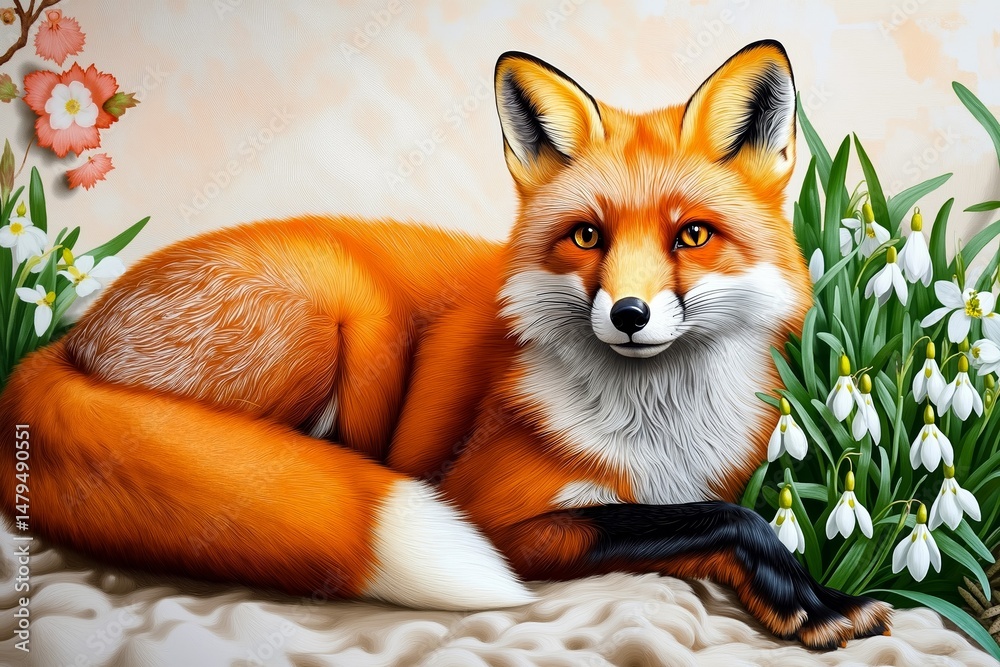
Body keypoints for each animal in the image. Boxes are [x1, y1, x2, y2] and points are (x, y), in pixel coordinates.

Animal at [0, 40, 892, 649]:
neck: (659, 430)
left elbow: (710, 519)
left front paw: (797, 597)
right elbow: (726, 520)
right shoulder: (504, 518)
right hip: (343, 313)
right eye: (588, 236)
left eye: (693, 235)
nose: (631, 313)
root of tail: (71, 337)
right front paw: (817, 599)